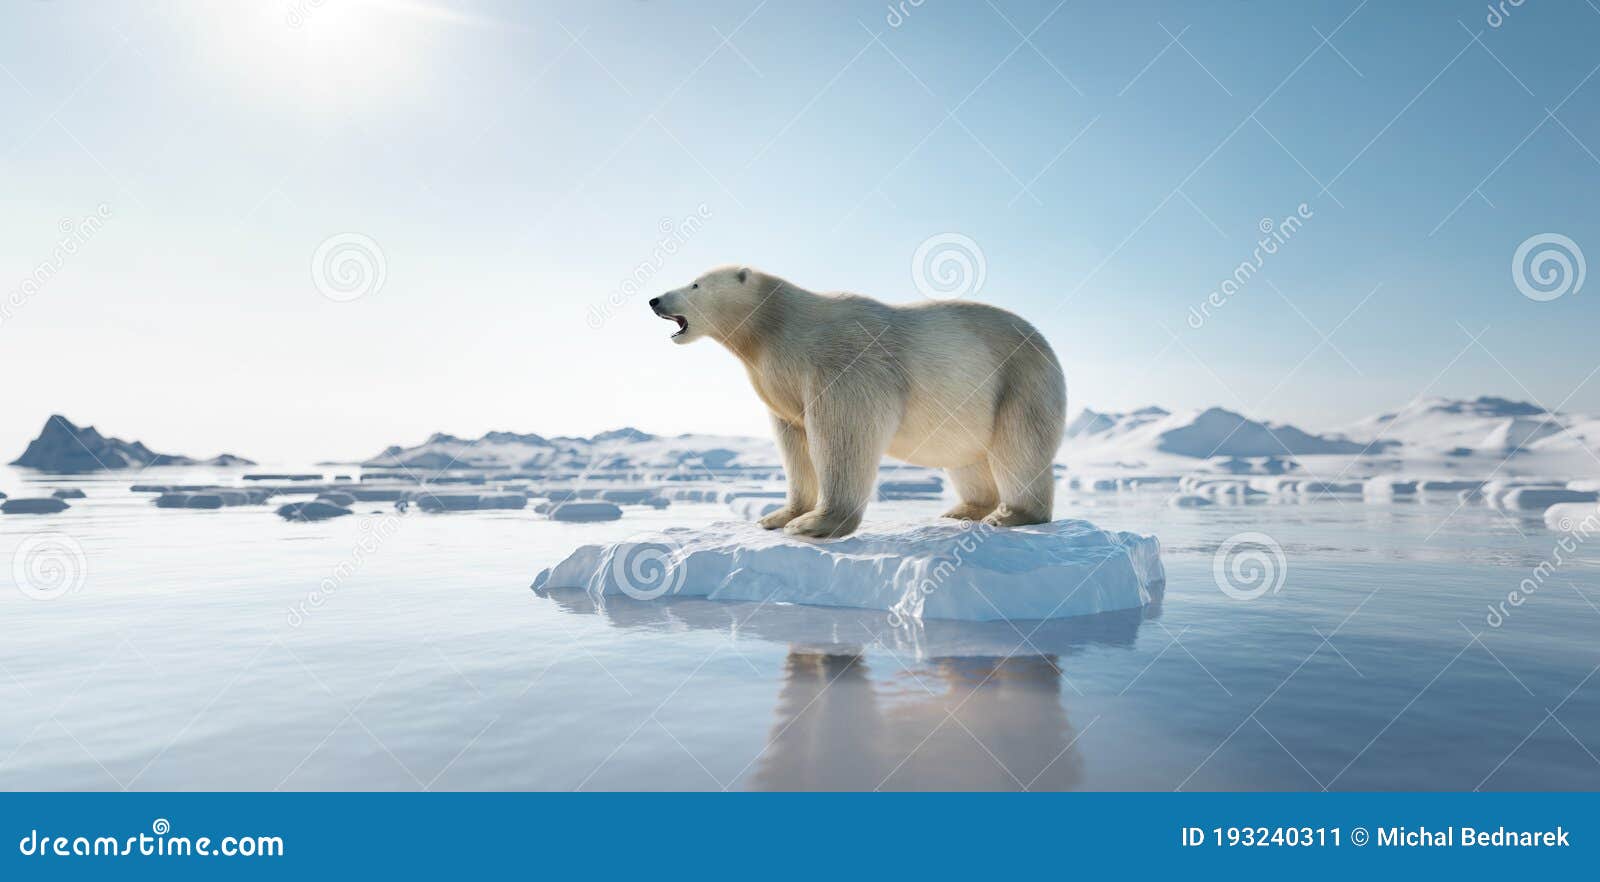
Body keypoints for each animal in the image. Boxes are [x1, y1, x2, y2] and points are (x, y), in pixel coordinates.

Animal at [649, 265, 1062, 537]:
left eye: (694, 283)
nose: (654, 299)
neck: (774, 327)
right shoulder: (779, 383)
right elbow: (793, 442)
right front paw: (778, 516)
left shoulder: (842, 361)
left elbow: (844, 431)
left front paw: (815, 523)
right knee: (967, 458)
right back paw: (963, 510)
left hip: (1020, 380)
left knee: (1019, 447)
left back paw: (1010, 515)